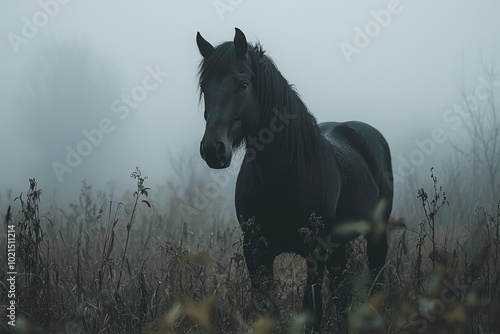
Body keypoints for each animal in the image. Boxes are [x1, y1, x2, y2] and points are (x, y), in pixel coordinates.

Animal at [196, 28, 394, 332]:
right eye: (205, 87)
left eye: (243, 84)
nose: (213, 150)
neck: (284, 175)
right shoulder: (255, 251)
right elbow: (267, 308)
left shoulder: (315, 250)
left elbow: (311, 310)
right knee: (341, 292)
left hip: (375, 234)